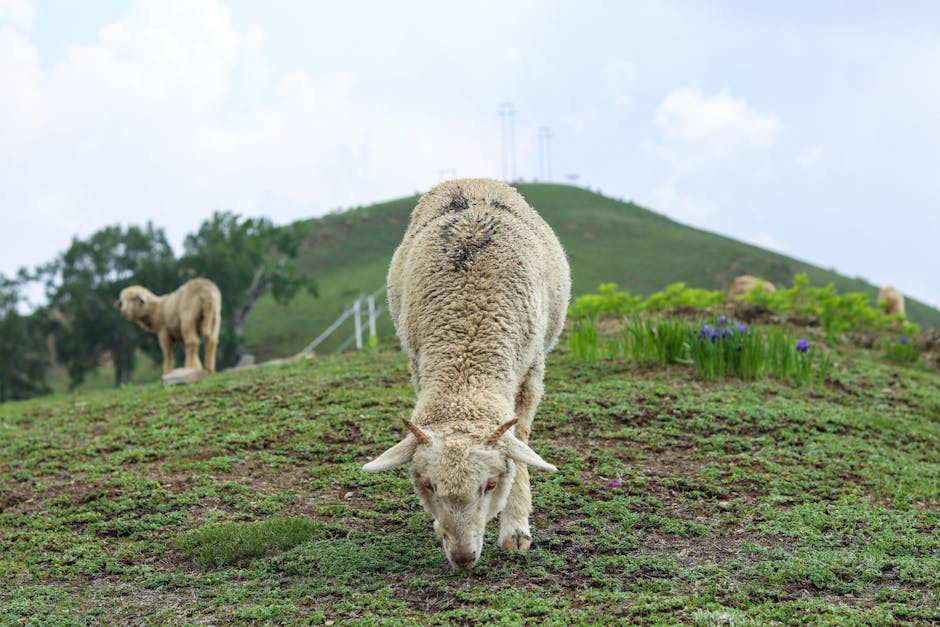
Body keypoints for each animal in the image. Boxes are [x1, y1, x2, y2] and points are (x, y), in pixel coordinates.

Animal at [363, 178, 570, 570]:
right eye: (428, 485)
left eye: (490, 485)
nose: (463, 557)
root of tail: (470, 180)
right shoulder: (418, 365)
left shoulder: (531, 374)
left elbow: (521, 441)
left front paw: (515, 528)